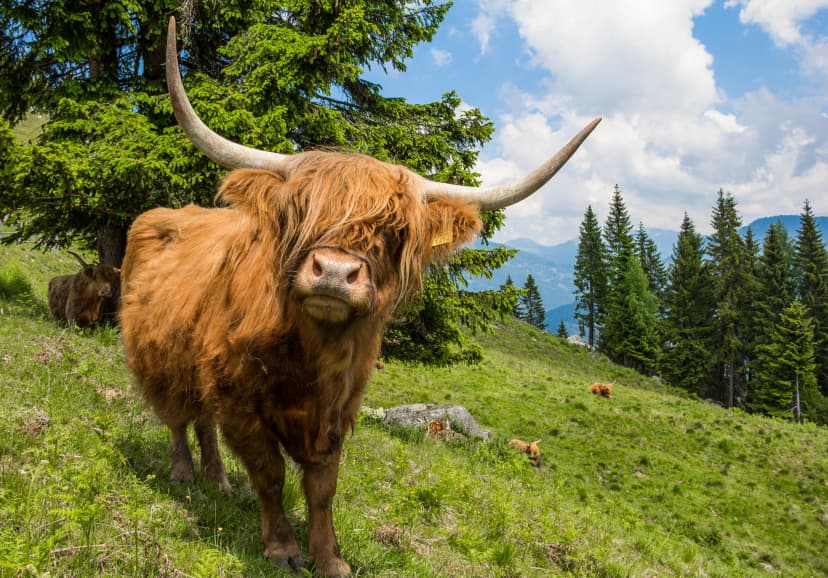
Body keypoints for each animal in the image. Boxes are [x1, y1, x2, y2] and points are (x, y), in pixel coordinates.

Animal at [119, 16, 600, 577]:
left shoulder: (340, 409)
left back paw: (217, 480)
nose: (333, 273)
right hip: (158, 356)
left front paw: (330, 558)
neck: (311, 358)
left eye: (393, 233)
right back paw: (183, 474)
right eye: (301, 213)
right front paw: (282, 548)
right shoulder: (238, 396)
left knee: (202, 423)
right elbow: (268, 473)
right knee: (178, 416)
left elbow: (322, 487)